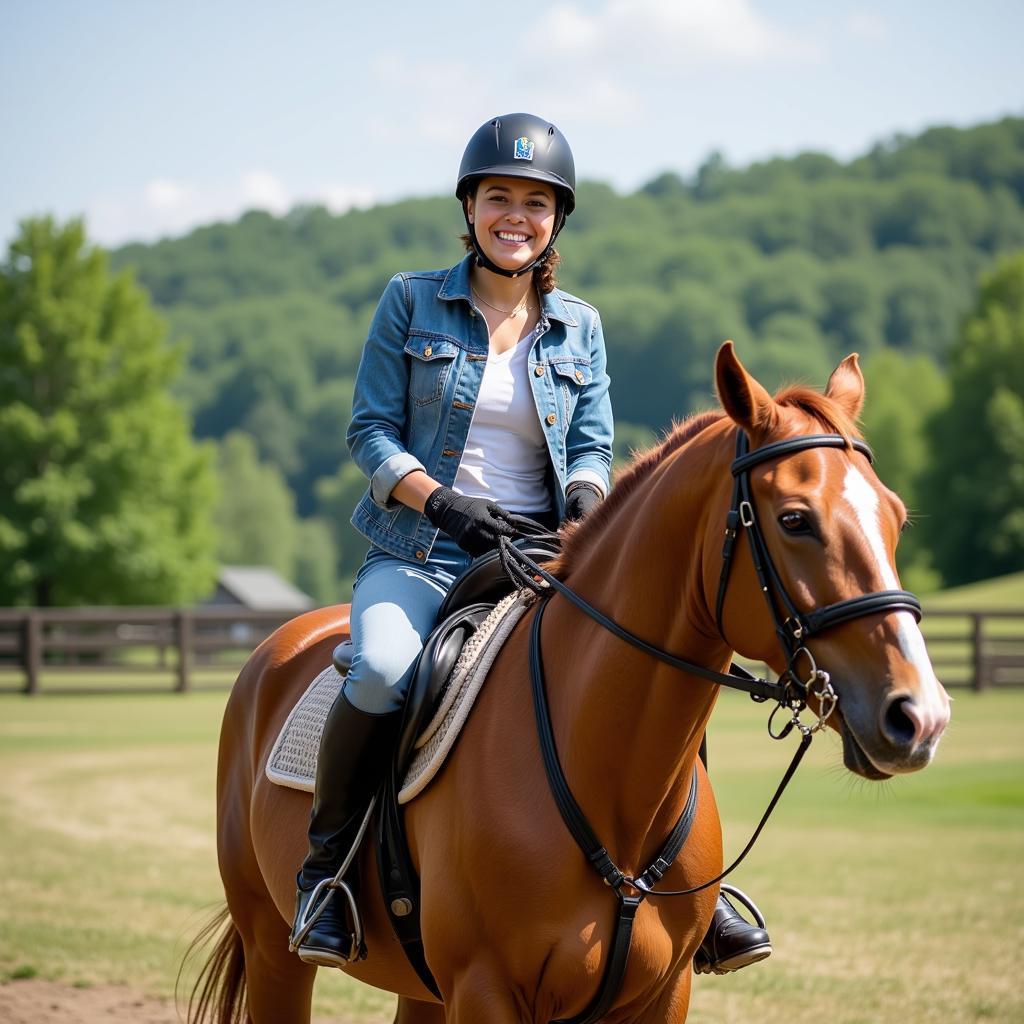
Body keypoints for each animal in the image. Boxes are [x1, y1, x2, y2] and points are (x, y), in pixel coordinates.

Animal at [192, 346, 950, 1024]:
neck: (612, 788)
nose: (919, 716)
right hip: (274, 950)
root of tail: (278, 647)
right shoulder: (487, 993)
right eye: (795, 519)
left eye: (895, 514)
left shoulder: (661, 997)